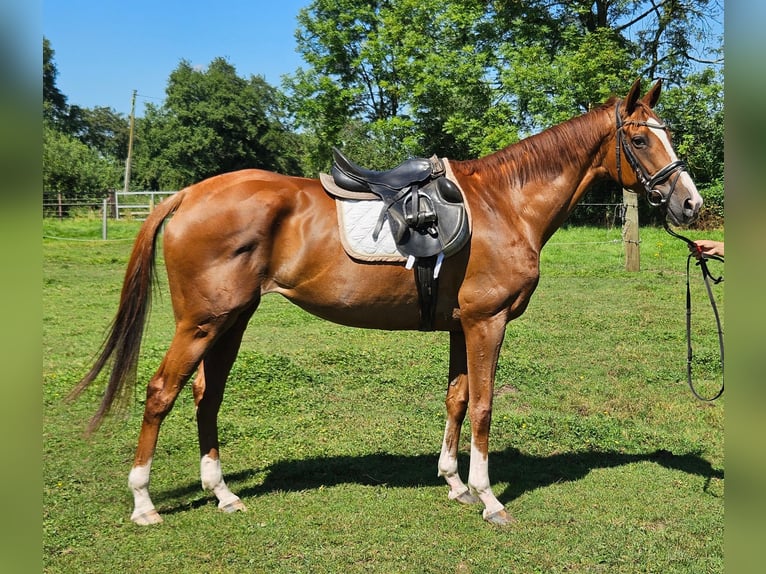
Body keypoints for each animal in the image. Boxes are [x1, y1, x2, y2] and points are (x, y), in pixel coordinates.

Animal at [73, 80, 708, 528]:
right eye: (641, 139)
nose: (691, 205)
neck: (504, 204)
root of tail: (187, 194)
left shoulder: (460, 326)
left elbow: (456, 400)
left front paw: (454, 483)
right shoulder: (487, 322)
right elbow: (483, 407)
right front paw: (489, 499)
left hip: (231, 321)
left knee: (207, 396)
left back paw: (223, 494)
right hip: (202, 322)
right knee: (162, 393)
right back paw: (144, 503)